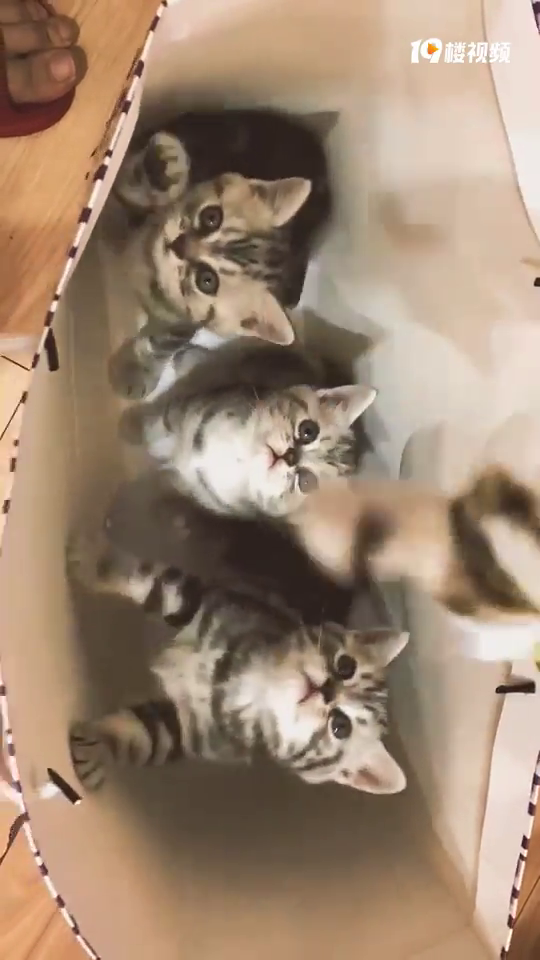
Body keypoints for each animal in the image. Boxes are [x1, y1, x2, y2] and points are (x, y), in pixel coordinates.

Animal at [67, 535, 408, 794]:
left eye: (340, 727)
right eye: (345, 666)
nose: (326, 690)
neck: (255, 685)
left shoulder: (192, 730)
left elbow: (138, 731)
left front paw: (92, 751)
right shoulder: (215, 600)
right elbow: (157, 586)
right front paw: (94, 561)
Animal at [116, 337, 376, 518]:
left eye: (306, 481)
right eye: (308, 431)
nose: (290, 456)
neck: (239, 454)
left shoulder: (195, 488)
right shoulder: (192, 404)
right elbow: (159, 419)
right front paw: (130, 427)